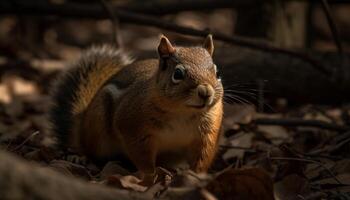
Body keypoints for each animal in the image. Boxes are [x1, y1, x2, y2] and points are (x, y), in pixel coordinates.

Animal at [48, 35, 224, 176]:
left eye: (217, 72)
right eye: (178, 74)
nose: (205, 92)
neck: (183, 112)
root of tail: (81, 129)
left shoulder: (207, 135)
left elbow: (202, 158)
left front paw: (196, 176)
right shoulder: (133, 127)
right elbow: (142, 157)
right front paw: (149, 175)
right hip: (98, 131)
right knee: (91, 151)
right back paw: (84, 158)